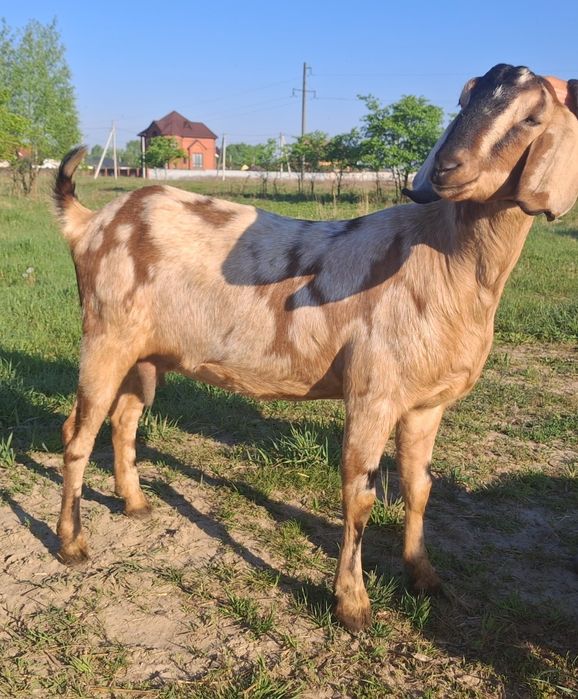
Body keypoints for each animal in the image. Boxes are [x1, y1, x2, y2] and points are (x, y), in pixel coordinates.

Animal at [53, 64, 578, 632]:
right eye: (463, 102)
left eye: (532, 118)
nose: (447, 168)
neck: (444, 260)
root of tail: (90, 222)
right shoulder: (372, 391)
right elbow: (361, 494)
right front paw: (353, 604)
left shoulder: (427, 403)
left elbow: (419, 488)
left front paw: (425, 577)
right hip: (104, 334)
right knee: (77, 431)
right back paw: (72, 545)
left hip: (146, 353)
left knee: (124, 418)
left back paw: (135, 504)